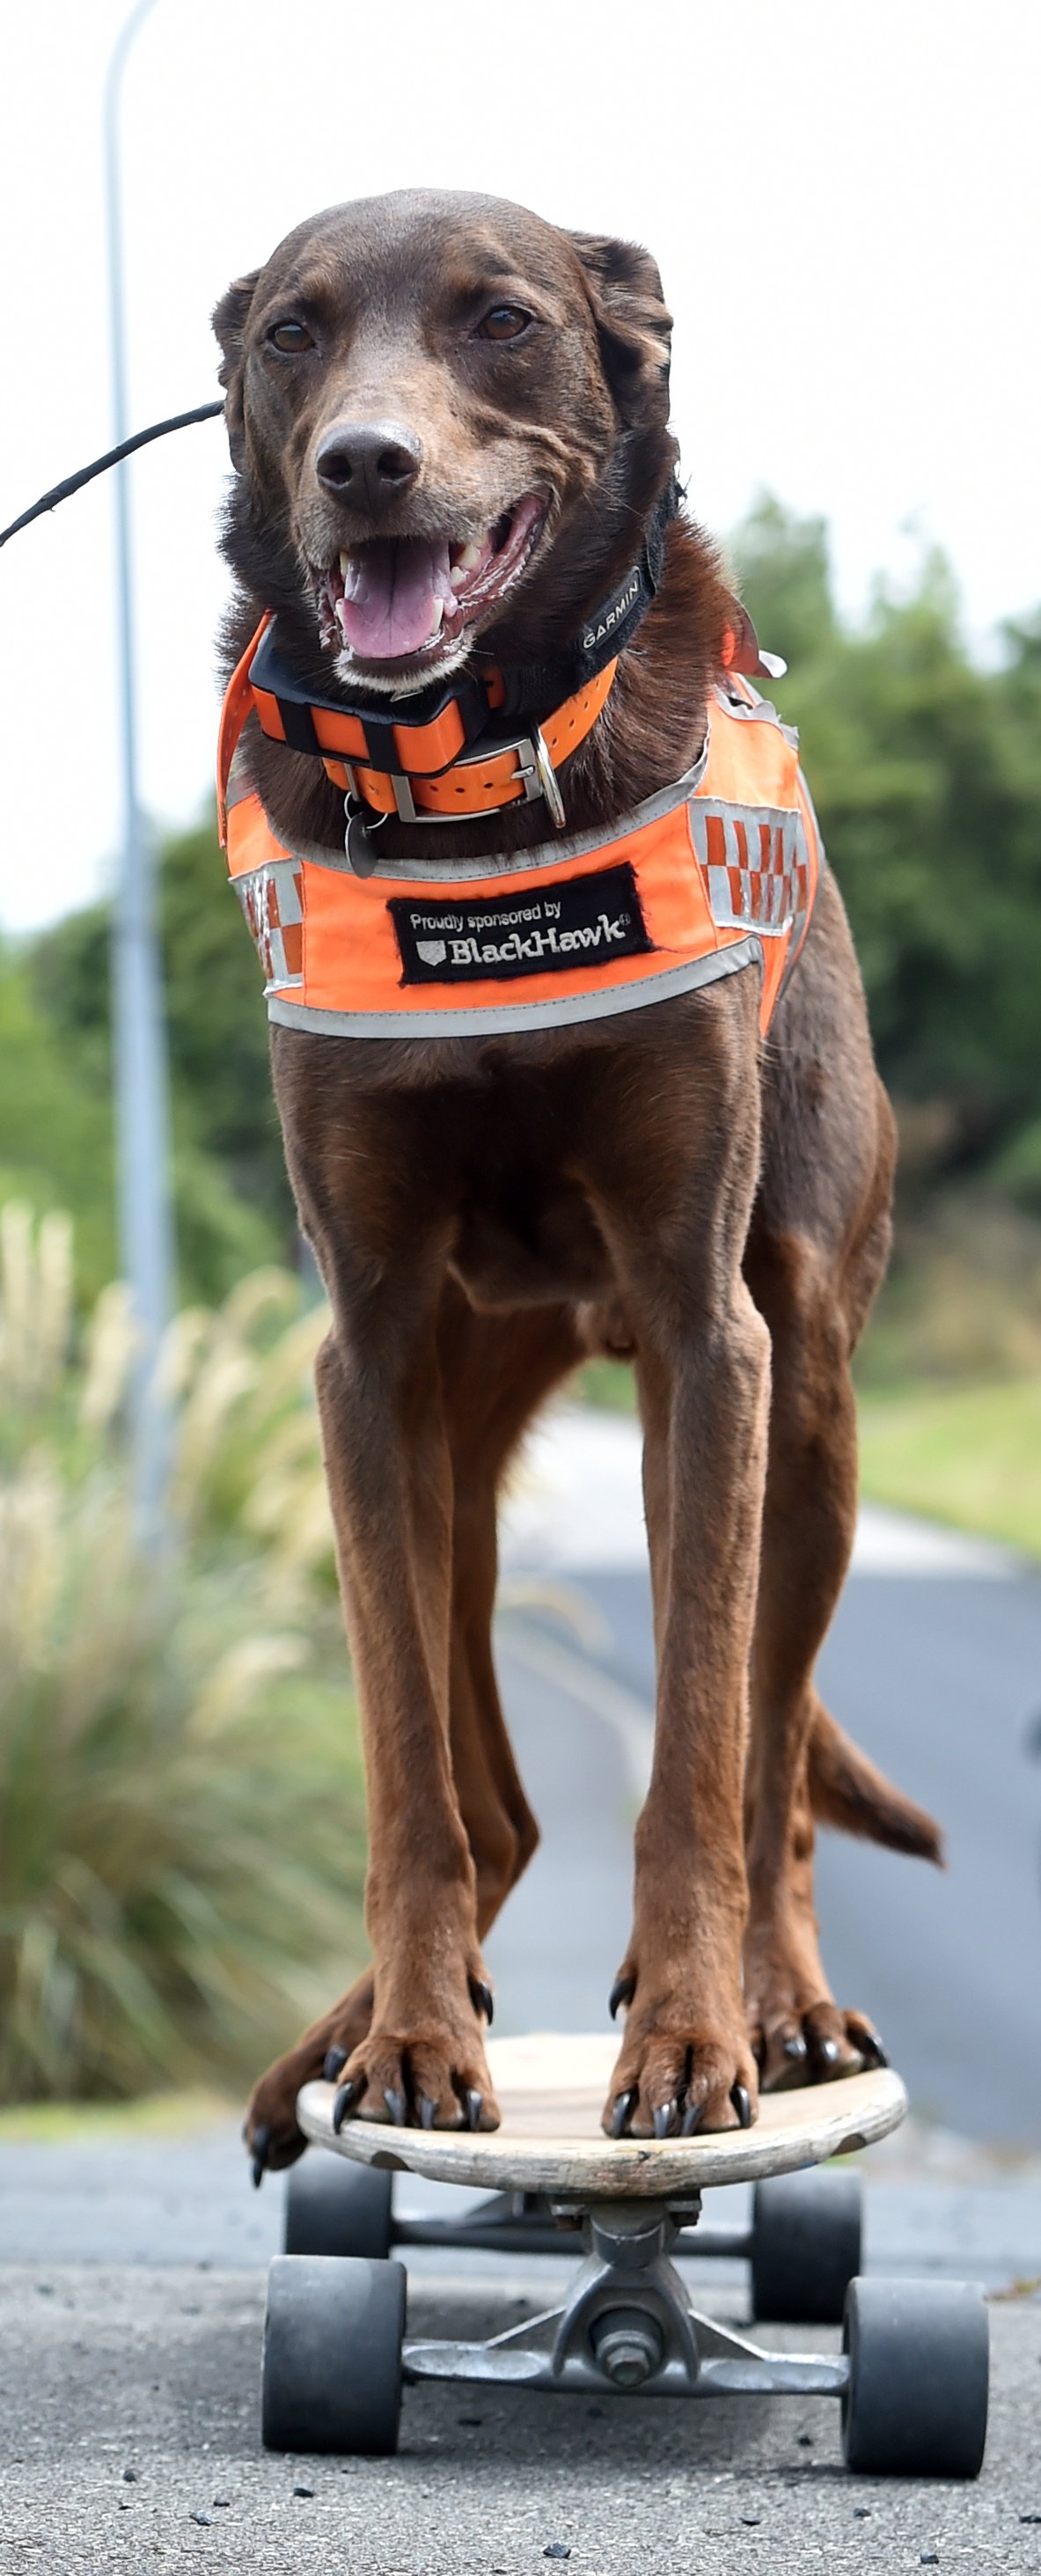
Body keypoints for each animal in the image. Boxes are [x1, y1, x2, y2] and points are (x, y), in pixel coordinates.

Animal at [214, 187, 942, 2174]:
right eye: (292, 334)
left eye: (501, 320)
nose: (364, 466)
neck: (477, 787)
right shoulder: (367, 1356)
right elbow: (403, 1766)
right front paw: (405, 2036)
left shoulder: (708, 1337)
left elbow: (699, 1748)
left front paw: (694, 2036)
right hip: (456, 1463)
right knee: (494, 1804)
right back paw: (351, 2031)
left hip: (807, 1409)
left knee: (770, 1759)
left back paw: (781, 2000)